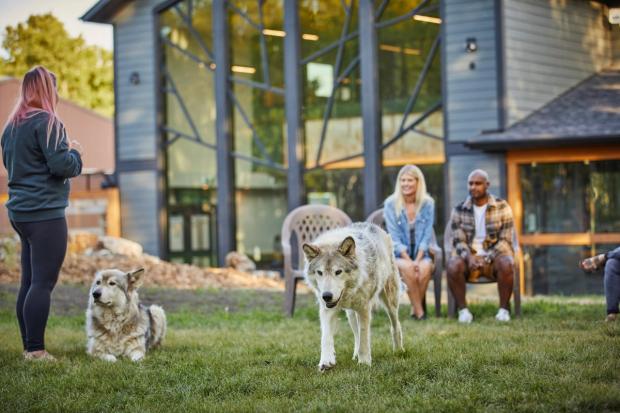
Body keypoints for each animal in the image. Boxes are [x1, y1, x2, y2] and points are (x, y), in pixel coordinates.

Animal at [302, 222, 404, 370]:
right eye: (319, 272)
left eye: (338, 272)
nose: (326, 296)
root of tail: (373, 225)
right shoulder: (326, 310)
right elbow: (326, 338)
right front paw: (326, 361)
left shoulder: (364, 309)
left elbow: (364, 338)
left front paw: (364, 363)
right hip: (350, 314)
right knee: (356, 335)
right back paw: (355, 355)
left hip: (390, 302)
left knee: (395, 325)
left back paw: (398, 350)